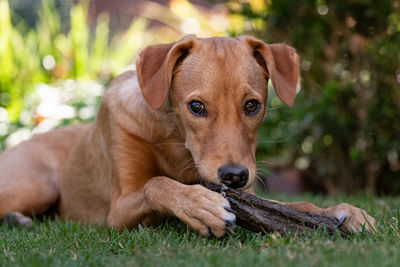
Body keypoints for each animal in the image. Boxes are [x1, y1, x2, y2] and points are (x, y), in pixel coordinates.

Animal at [0, 35, 376, 237]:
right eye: (196, 106)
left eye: (252, 105)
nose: (234, 177)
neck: (175, 141)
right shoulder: (117, 211)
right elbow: (156, 184)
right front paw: (198, 205)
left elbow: (295, 205)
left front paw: (342, 211)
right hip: (38, 184)